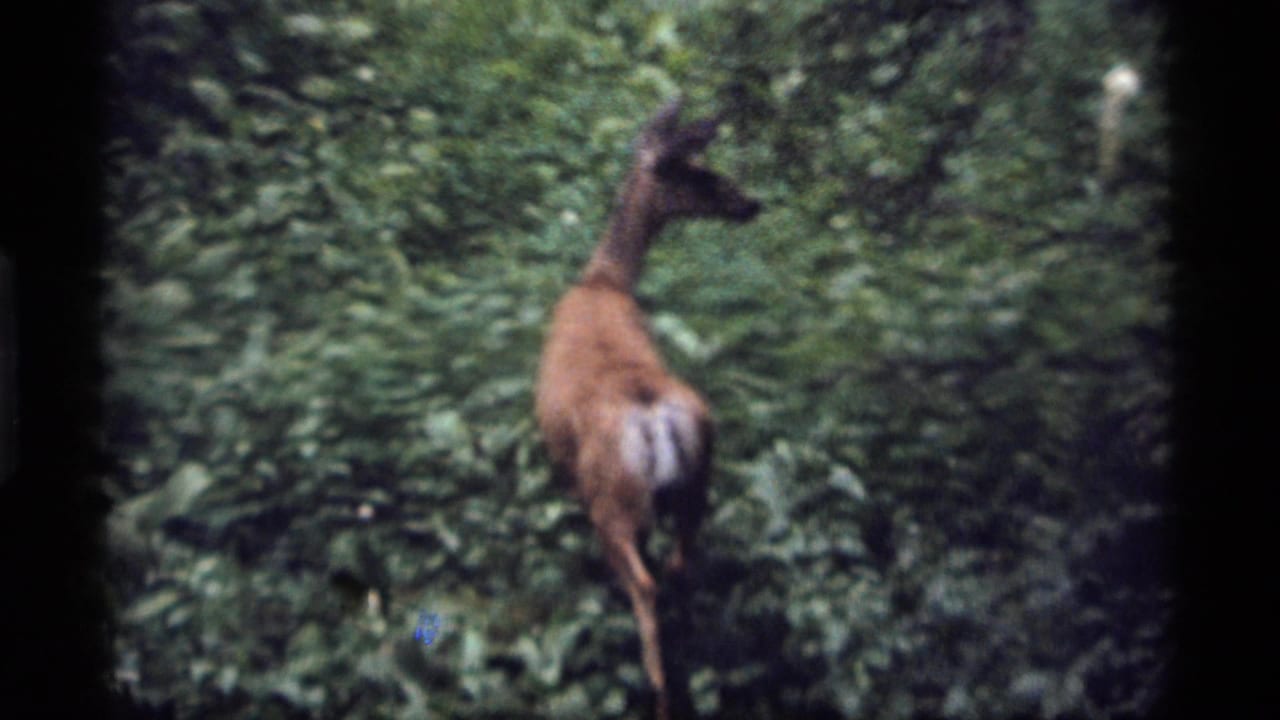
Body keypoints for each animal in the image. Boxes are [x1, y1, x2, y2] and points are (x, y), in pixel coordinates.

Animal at [534, 98, 761, 720]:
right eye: (698, 172)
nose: (750, 202)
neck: (603, 282)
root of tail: (654, 417)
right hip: (697, 483)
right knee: (681, 565)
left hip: (613, 501)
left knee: (645, 584)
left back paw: (659, 691)